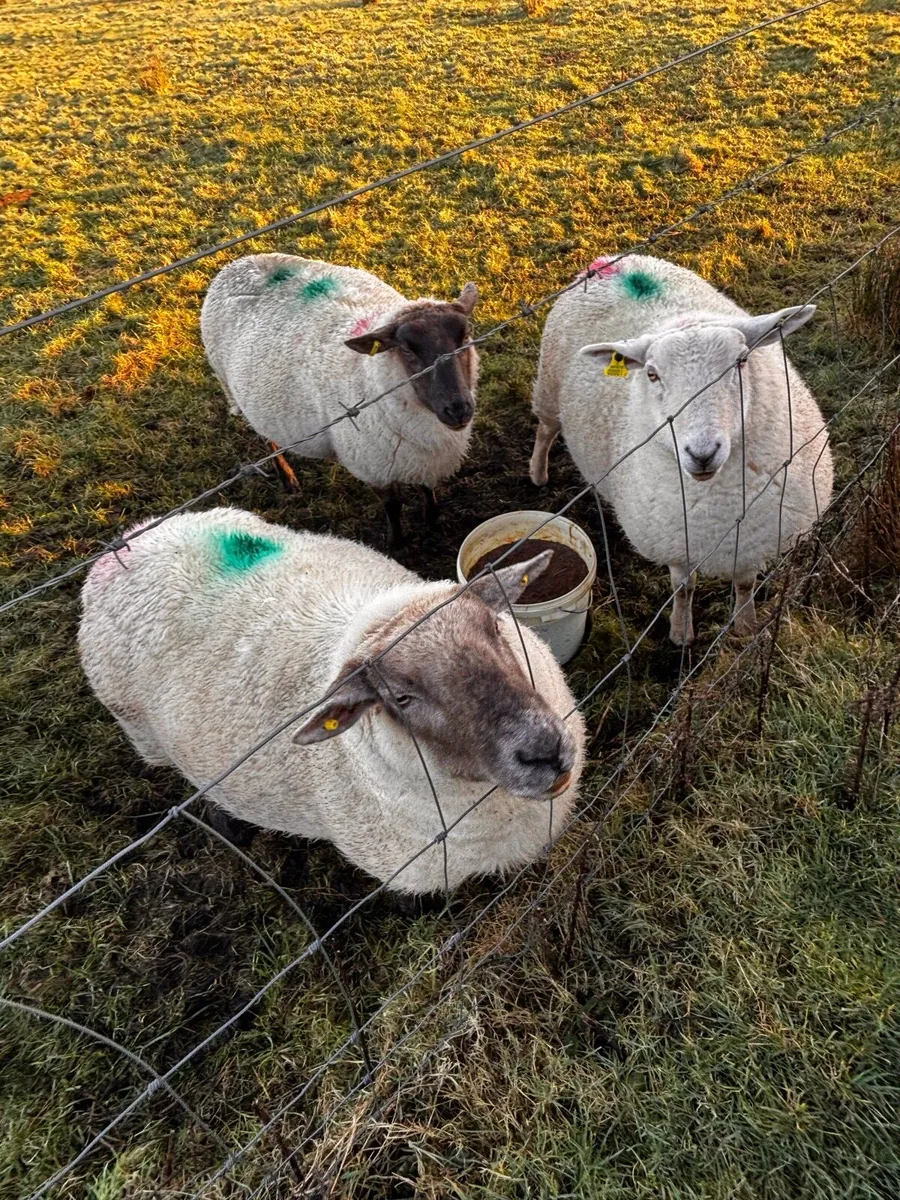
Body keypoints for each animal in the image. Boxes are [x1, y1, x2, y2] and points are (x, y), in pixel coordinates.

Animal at [200, 254, 480, 548]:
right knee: (267, 438)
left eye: (465, 337)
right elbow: (393, 506)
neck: (368, 374)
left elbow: (427, 488)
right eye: (405, 350)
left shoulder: (424, 458)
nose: (458, 409)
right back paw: (287, 478)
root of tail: (240, 262)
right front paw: (396, 544)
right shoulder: (372, 466)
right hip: (238, 392)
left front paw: (432, 519)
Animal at [529, 254, 834, 645]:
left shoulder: (750, 539)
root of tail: (613, 262)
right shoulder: (676, 542)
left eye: (742, 361)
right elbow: (684, 588)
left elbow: (745, 585)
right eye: (652, 374)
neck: (717, 506)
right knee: (547, 429)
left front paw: (745, 627)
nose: (702, 453)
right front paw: (680, 633)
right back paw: (538, 473)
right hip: (550, 384)